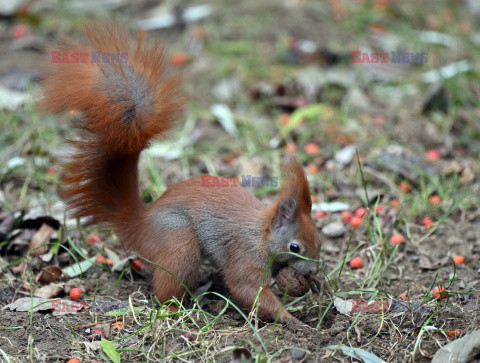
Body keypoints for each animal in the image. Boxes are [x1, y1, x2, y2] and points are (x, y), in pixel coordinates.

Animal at [37, 22, 322, 326]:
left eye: (318, 240)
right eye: (295, 247)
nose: (315, 270)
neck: (263, 233)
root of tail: (140, 226)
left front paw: (314, 286)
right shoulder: (246, 254)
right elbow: (246, 287)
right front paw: (291, 319)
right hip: (178, 241)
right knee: (166, 288)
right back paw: (180, 309)